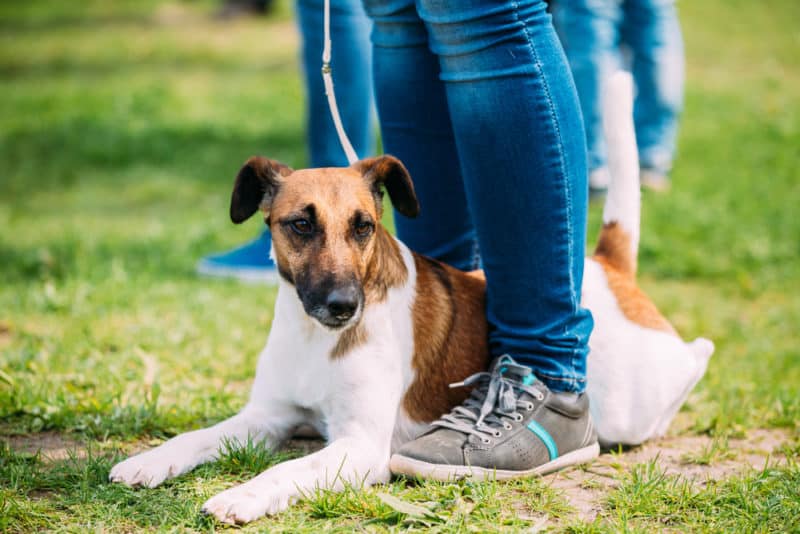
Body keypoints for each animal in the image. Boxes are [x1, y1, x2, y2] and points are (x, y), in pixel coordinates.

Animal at [108, 71, 712, 524]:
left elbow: (284, 470)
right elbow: (198, 436)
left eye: (364, 227)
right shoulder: (268, 416)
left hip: (632, 404)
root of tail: (607, 267)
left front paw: (243, 494)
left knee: (694, 358)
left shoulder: (359, 445)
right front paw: (151, 461)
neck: (316, 340)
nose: (343, 306)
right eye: (300, 224)